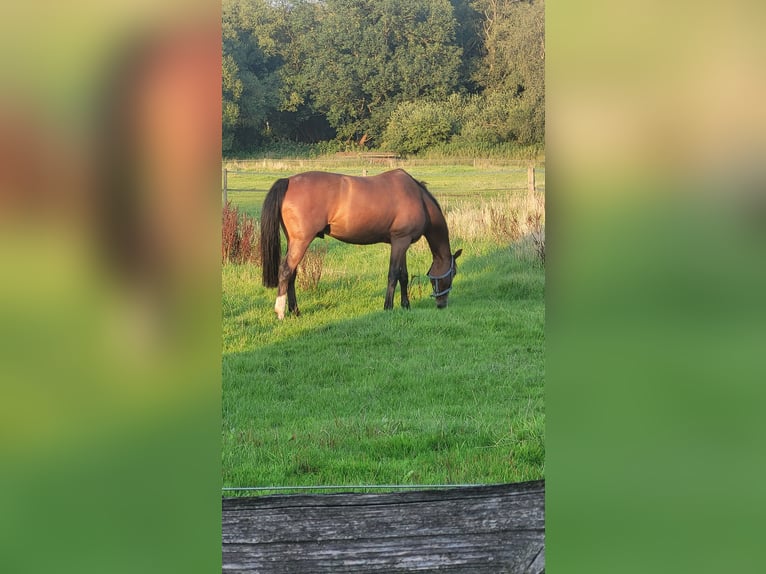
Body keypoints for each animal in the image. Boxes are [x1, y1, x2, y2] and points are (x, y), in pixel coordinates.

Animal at [260, 168, 462, 319]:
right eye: (453, 273)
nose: (442, 304)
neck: (418, 197)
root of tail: (288, 181)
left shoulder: (402, 243)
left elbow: (403, 276)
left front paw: (406, 306)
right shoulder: (400, 241)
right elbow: (393, 275)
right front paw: (388, 307)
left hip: (294, 242)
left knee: (292, 274)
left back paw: (296, 311)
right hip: (301, 242)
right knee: (285, 271)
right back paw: (280, 312)